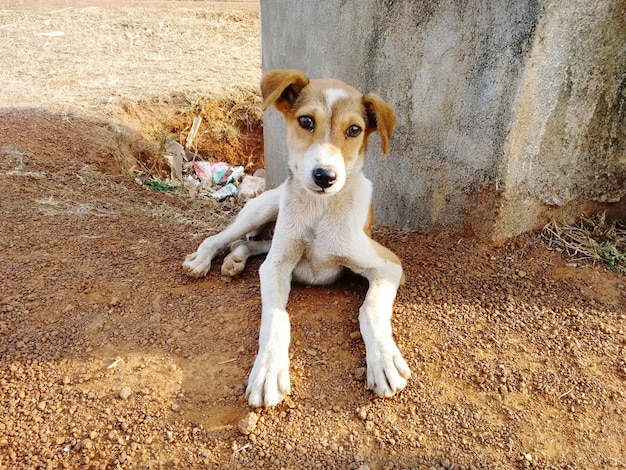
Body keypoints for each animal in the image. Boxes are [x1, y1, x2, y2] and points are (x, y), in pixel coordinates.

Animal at [183, 70, 410, 408]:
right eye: (306, 121)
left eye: (354, 130)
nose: (325, 176)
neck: (320, 211)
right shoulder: (277, 266)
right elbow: (277, 316)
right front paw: (267, 371)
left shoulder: (389, 265)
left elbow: (369, 309)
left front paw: (384, 360)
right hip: (263, 208)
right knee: (221, 237)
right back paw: (203, 259)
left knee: (251, 244)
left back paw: (236, 258)